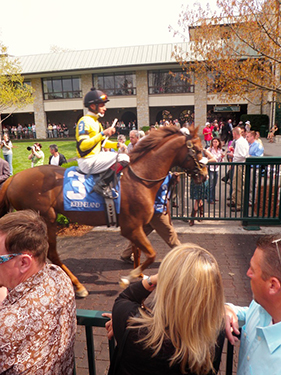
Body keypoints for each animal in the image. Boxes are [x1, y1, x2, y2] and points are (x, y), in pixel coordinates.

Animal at [0, 126, 206, 296]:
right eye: (196, 150)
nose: (204, 174)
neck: (140, 177)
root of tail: (14, 178)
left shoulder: (136, 226)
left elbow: (139, 252)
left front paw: (138, 275)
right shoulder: (130, 228)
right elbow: (151, 253)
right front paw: (127, 279)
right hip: (46, 218)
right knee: (52, 253)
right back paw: (79, 286)